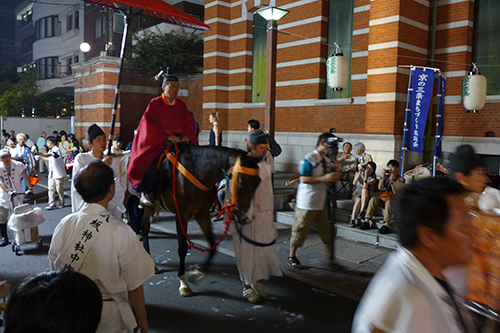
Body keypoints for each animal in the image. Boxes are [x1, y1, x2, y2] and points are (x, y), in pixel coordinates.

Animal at [137, 143, 262, 296]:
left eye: (258, 182)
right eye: (242, 182)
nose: (248, 218)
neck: (199, 172)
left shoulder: (201, 214)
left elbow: (213, 245)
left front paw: (196, 273)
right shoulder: (182, 215)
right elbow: (182, 248)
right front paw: (183, 283)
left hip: (150, 208)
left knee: (144, 229)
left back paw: (153, 265)